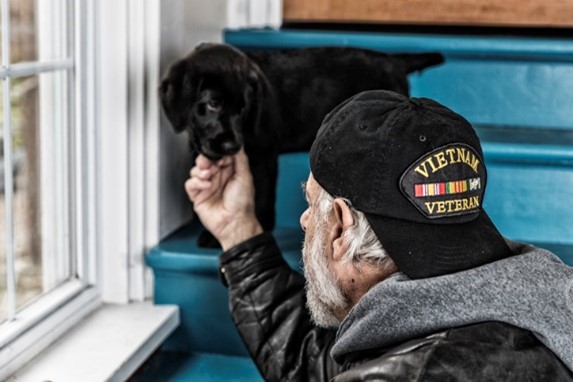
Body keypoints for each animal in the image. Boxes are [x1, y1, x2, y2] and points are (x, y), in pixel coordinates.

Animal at [159, 43, 444, 246]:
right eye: (212, 105)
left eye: (243, 110)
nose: (231, 147)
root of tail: (392, 60)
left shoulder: (264, 153)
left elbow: (262, 195)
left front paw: (259, 226)